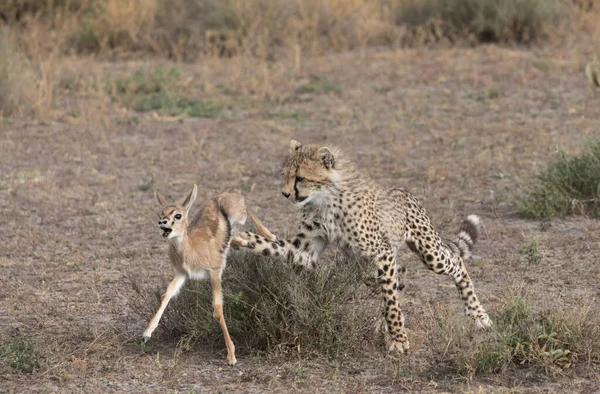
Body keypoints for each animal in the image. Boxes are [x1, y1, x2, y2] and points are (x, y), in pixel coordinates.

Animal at [238, 141, 492, 354]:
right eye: (286, 176)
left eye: (300, 177)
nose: (285, 193)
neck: (325, 198)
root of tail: (403, 191)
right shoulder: (306, 251)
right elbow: (274, 246)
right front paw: (242, 239)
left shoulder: (382, 252)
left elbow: (391, 302)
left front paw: (399, 339)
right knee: (400, 274)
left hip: (429, 253)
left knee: (455, 263)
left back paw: (478, 315)